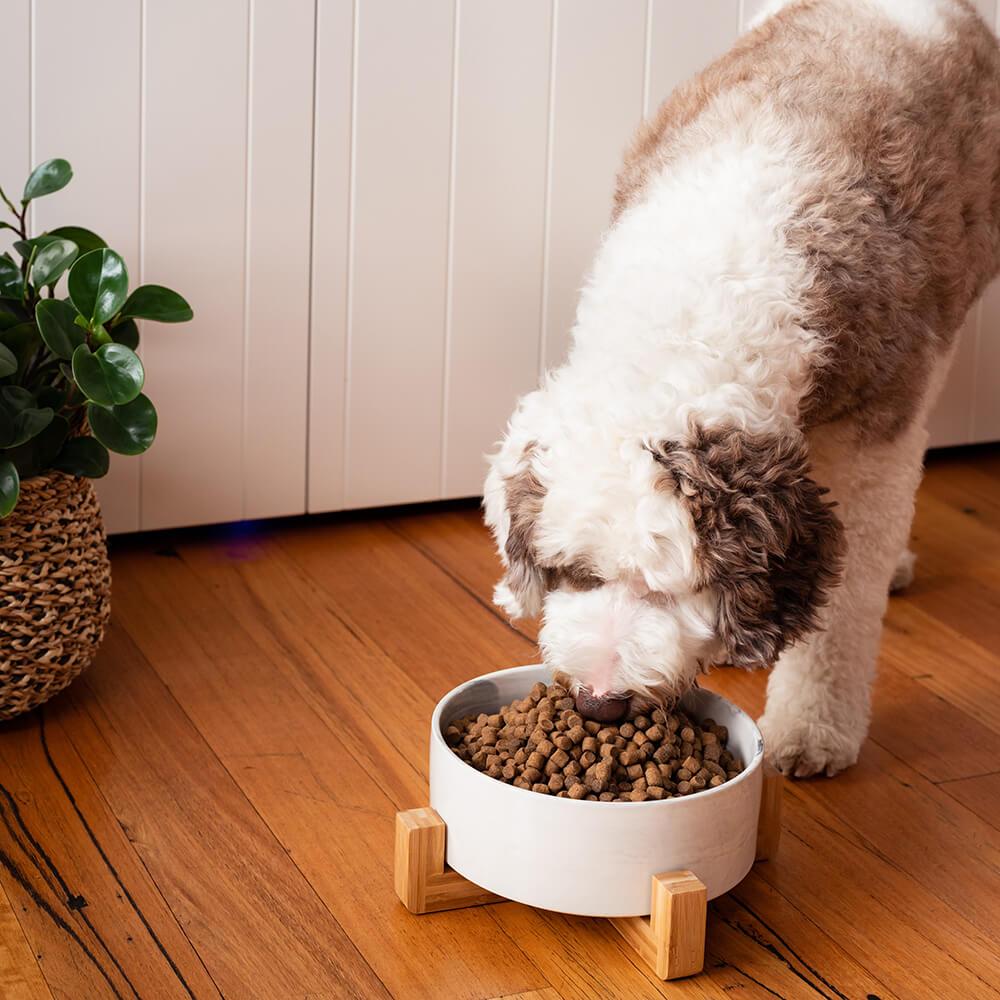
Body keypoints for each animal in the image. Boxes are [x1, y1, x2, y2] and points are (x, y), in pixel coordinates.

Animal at [484, 0, 1000, 780]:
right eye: (573, 573)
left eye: (667, 589)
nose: (599, 705)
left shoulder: (874, 437)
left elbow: (843, 606)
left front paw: (812, 729)